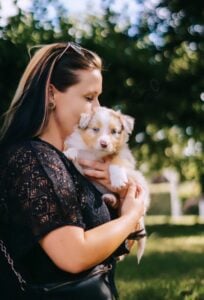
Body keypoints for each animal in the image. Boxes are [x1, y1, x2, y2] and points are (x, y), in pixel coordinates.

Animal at [63, 106, 150, 262]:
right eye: (95, 129)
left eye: (114, 131)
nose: (104, 143)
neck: (96, 153)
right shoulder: (84, 166)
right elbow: (78, 151)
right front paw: (70, 152)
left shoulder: (125, 157)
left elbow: (115, 160)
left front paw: (118, 179)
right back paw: (110, 199)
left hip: (140, 181)